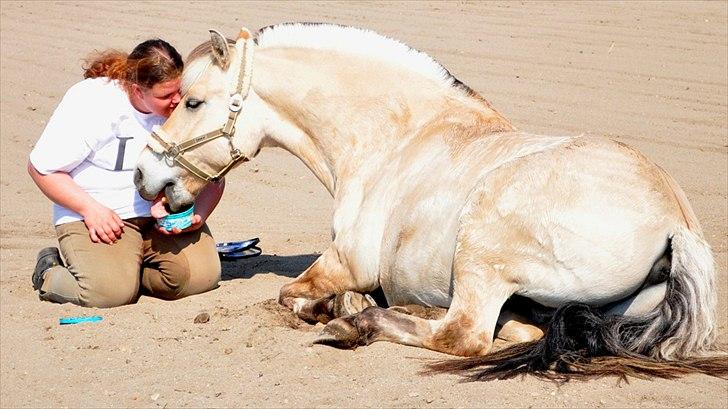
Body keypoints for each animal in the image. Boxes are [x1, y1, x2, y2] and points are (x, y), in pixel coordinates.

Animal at [134, 23, 724, 380]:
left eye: (192, 102)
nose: (143, 173)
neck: (392, 138)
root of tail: (676, 222)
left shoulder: (342, 264)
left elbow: (291, 296)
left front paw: (338, 309)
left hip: (483, 245)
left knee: (464, 335)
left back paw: (357, 325)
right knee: (519, 327)